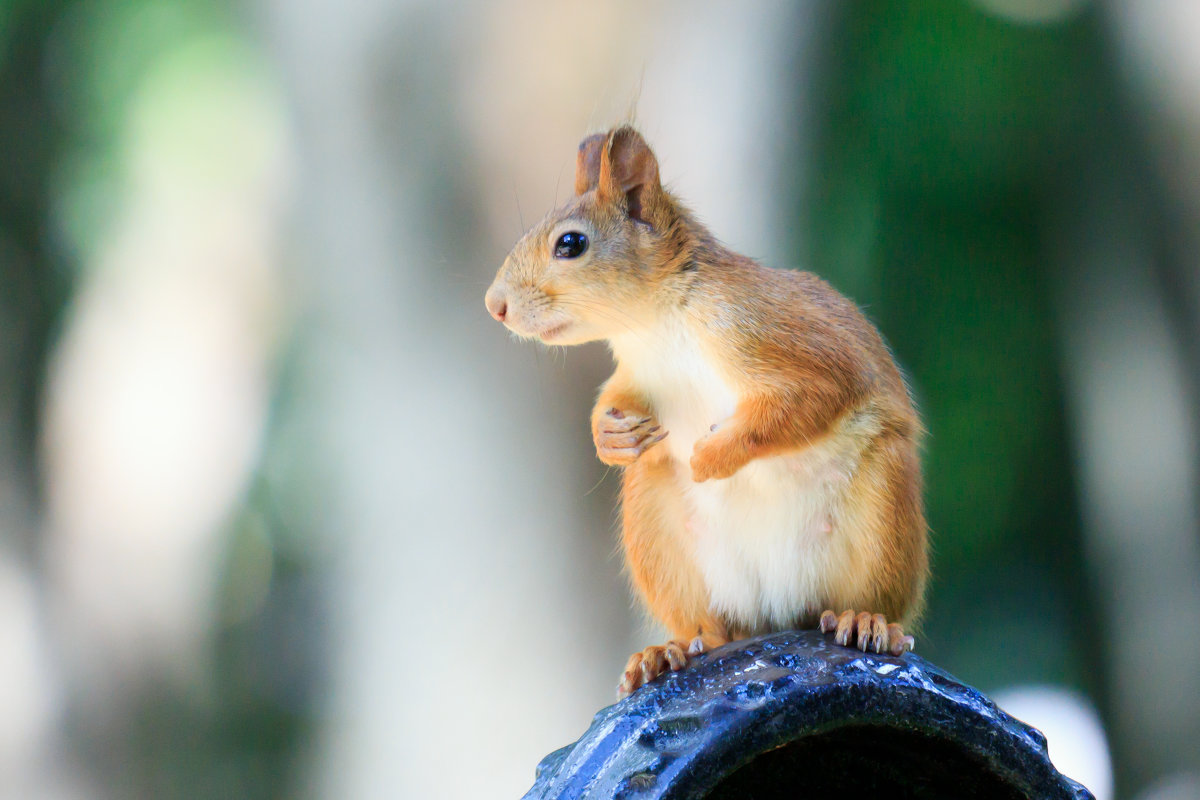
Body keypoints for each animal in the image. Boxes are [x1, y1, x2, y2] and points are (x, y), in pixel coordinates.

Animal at [484, 126, 926, 700]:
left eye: (571, 244)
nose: (494, 305)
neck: (653, 326)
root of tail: (778, 613)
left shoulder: (783, 339)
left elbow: (804, 402)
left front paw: (712, 458)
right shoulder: (634, 375)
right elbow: (611, 399)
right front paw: (610, 436)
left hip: (883, 510)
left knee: (871, 601)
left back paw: (866, 621)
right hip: (657, 531)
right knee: (710, 629)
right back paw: (667, 652)